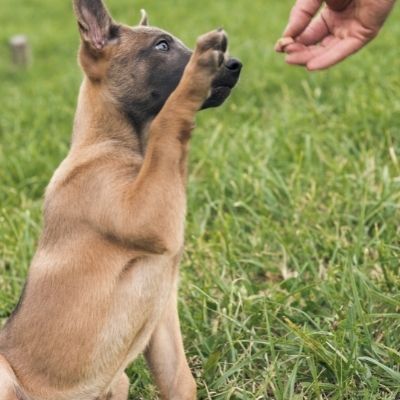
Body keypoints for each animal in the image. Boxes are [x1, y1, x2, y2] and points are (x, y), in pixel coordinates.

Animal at [0, 0, 241, 400]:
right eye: (162, 45)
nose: (235, 64)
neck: (111, 144)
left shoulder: (163, 319)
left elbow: (179, 380)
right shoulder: (144, 214)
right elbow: (168, 123)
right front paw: (199, 68)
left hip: (118, 381)